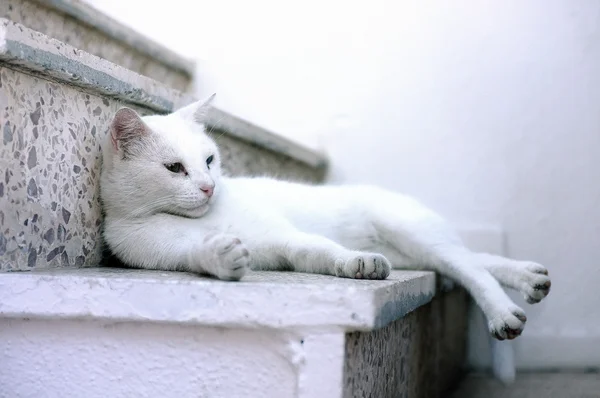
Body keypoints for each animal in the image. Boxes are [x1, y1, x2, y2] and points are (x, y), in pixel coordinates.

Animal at [101, 95, 552, 340]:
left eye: (210, 160)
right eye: (175, 168)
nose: (209, 187)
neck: (202, 219)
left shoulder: (286, 237)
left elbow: (321, 249)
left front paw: (358, 264)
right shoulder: (166, 253)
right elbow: (202, 254)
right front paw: (224, 256)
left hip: (412, 232)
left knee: (472, 268)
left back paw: (505, 312)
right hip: (416, 252)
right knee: (473, 260)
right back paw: (530, 278)